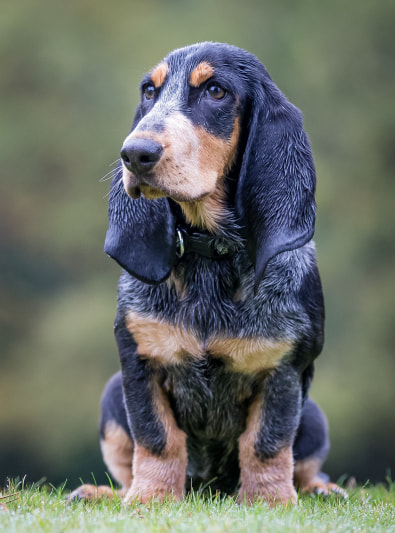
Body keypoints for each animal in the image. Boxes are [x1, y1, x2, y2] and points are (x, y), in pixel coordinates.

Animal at [70, 42, 344, 508]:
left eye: (216, 91)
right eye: (149, 91)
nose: (136, 153)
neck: (212, 255)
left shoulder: (285, 367)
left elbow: (267, 443)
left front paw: (269, 502)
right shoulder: (139, 361)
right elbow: (157, 438)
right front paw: (150, 499)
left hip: (316, 417)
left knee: (305, 465)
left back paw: (322, 489)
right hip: (111, 397)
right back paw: (101, 492)